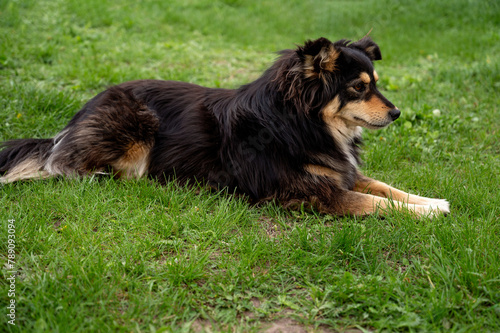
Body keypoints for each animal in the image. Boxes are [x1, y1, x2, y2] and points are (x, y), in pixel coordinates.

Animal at [0, 37, 450, 217]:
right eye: (359, 88)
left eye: (376, 84)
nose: (396, 113)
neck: (298, 122)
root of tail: (75, 119)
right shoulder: (299, 190)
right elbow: (373, 202)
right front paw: (427, 215)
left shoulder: (337, 171)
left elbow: (384, 187)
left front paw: (431, 201)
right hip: (135, 124)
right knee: (67, 167)